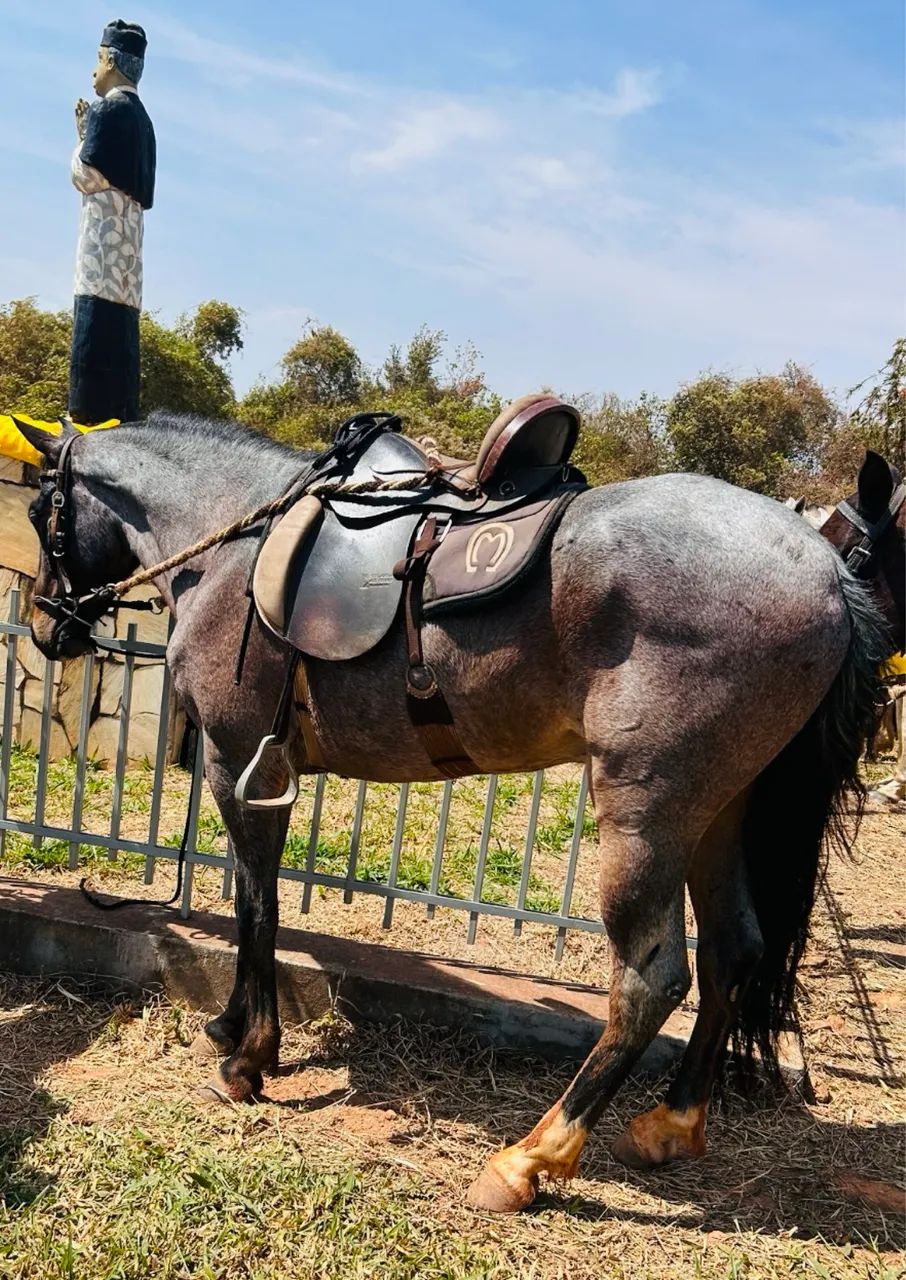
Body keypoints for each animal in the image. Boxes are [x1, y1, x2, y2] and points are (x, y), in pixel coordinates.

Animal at [13, 414, 902, 1215]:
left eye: (41, 511)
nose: (46, 624)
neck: (240, 547)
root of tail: (829, 576)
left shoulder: (239, 765)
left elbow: (257, 908)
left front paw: (250, 1057)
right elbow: (249, 902)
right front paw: (233, 1029)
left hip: (649, 814)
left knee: (652, 980)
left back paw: (528, 1160)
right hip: (721, 814)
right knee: (732, 952)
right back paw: (671, 1126)